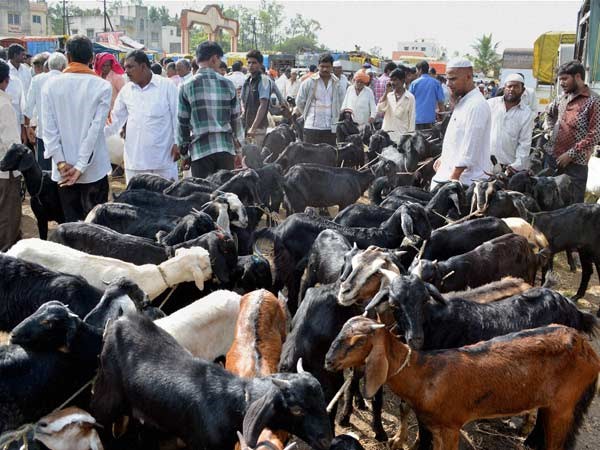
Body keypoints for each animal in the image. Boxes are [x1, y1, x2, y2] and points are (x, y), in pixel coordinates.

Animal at [91, 312, 332, 450]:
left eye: (322, 400)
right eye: (297, 409)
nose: (327, 441)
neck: (231, 404)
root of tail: (117, 322)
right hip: (107, 395)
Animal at [326, 316, 600, 450]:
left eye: (359, 341)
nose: (328, 360)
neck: (425, 375)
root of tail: (587, 349)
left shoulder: (451, 426)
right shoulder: (435, 427)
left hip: (564, 408)